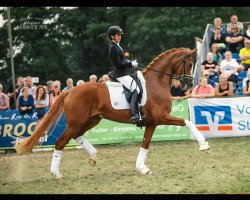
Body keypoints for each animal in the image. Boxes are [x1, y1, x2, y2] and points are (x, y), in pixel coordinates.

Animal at [15, 47, 210, 179]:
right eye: (189, 63)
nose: (188, 85)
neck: (156, 83)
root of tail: (69, 91)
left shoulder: (151, 122)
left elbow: (145, 144)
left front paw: (141, 167)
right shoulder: (159, 118)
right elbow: (187, 122)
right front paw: (203, 145)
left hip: (92, 120)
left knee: (77, 135)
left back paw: (93, 155)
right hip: (77, 121)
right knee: (61, 142)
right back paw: (56, 173)